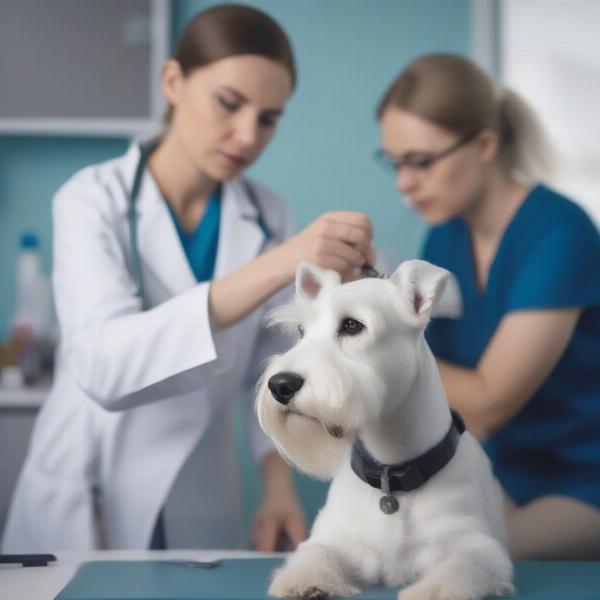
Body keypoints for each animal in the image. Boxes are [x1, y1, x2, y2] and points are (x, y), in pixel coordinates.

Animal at [255, 260, 512, 600]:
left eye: (352, 325)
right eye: (301, 331)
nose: (281, 385)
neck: (392, 475)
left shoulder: (477, 546)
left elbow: (462, 564)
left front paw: (434, 590)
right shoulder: (336, 538)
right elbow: (316, 552)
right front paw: (306, 579)